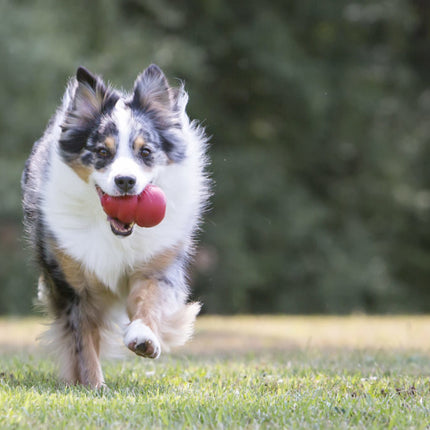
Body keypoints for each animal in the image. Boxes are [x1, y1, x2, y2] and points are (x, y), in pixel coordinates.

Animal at [21, 64, 210, 390]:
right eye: (102, 152)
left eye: (145, 152)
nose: (125, 181)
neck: (114, 231)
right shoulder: (74, 285)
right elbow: (83, 341)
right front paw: (94, 386)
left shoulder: (157, 265)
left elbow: (149, 301)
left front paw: (144, 338)